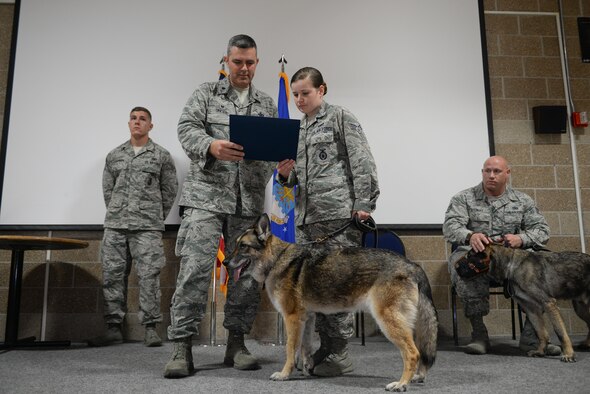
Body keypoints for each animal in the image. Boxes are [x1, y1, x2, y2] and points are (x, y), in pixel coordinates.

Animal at [228, 214, 440, 392]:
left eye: (243, 246)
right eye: (235, 245)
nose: (225, 263)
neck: (277, 260)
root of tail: (413, 266)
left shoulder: (292, 318)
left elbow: (290, 348)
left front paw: (284, 374)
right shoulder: (307, 318)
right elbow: (305, 348)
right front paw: (306, 371)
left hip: (388, 322)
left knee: (413, 353)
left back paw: (401, 384)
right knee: (421, 351)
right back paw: (417, 378)